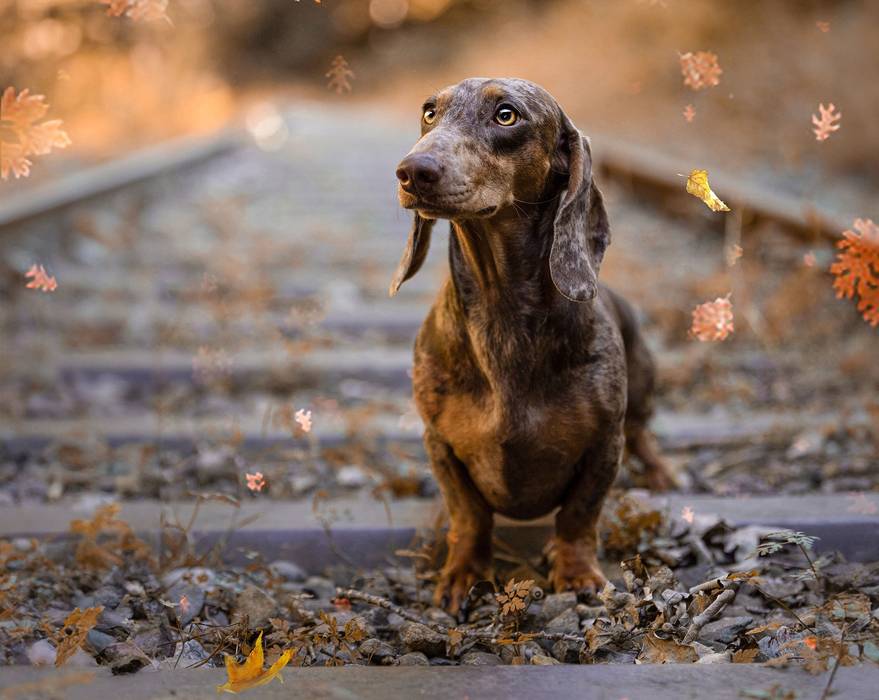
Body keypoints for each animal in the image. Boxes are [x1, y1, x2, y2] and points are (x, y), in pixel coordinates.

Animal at [392, 78, 672, 612]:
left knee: (643, 432)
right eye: (429, 111)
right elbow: (469, 515)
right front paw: (463, 574)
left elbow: (579, 515)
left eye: (507, 115)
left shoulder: (604, 444)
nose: (412, 171)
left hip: (644, 384)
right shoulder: (440, 444)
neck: (503, 317)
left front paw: (577, 574)